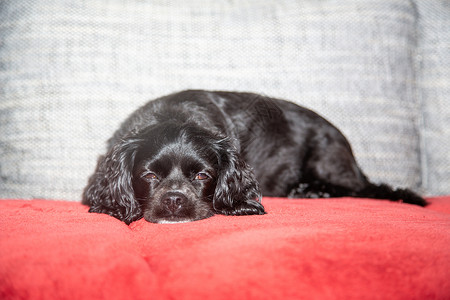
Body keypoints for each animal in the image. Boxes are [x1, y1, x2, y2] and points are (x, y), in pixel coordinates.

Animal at [82, 89, 428, 223]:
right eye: (150, 175)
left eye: (202, 175)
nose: (175, 199)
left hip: (326, 157)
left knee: (355, 188)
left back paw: (311, 191)